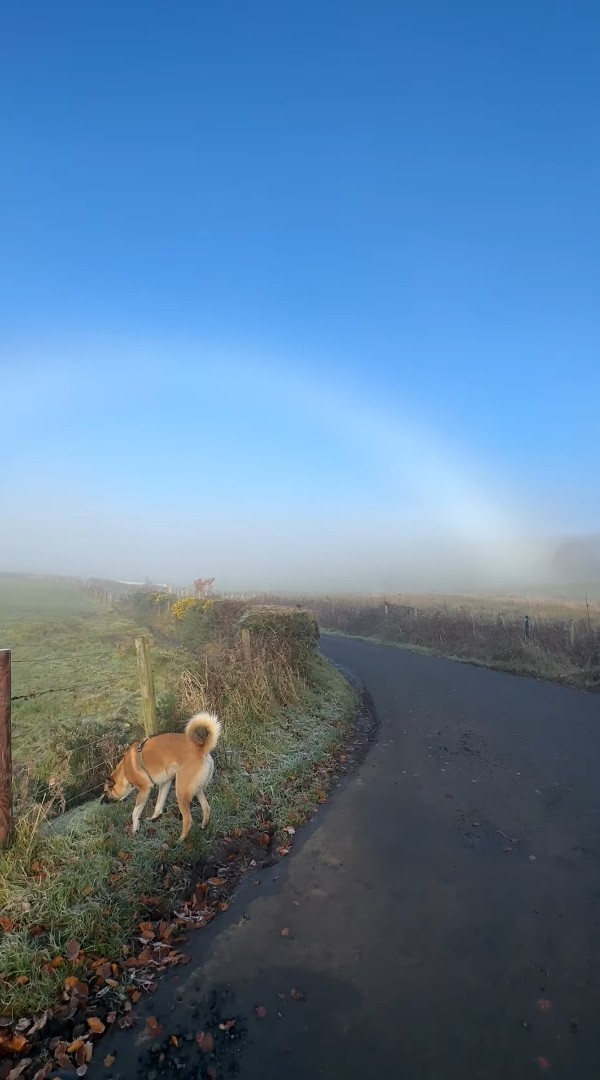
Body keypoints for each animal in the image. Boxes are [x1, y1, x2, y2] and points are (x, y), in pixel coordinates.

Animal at [101, 708, 221, 842]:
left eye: (106, 792)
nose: (101, 802)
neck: (125, 771)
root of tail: (201, 749)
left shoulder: (144, 789)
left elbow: (135, 812)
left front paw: (135, 829)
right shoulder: (165, 783)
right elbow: (159, 804)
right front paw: (154, 818)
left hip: (181, 791)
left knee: (188, 820)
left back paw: (180, 840)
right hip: (197, 789)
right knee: (206, 808)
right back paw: (204, 827)